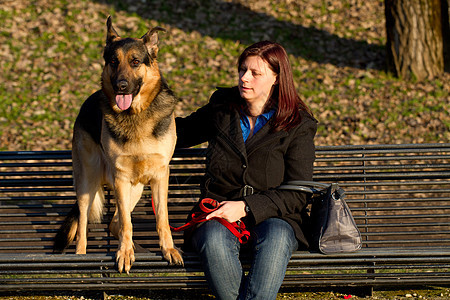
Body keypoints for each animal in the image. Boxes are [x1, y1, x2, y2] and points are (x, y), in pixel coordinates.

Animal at [54, 16, 183, 274]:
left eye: (135, 62)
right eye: (113, 62)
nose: (120, 86)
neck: (136, 114)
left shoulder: (160, 176)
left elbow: (161, 219)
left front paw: (168, 249)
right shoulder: (122, 178)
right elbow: (126, 223)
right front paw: (124, 253)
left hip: (137, 188)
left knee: (114, 224)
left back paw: (139, 248)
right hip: (87, 183)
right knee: (84, 226)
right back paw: (81, 256)